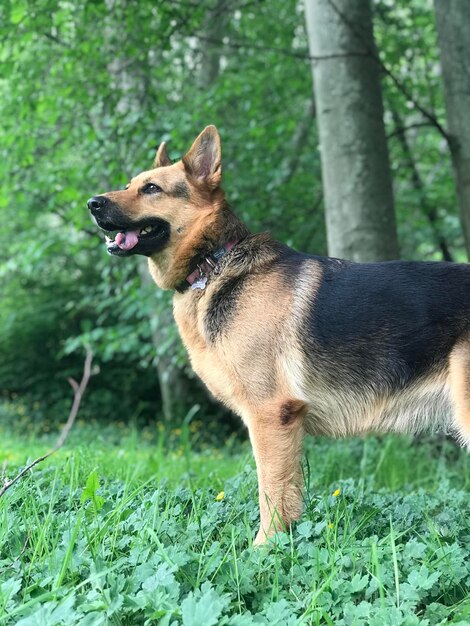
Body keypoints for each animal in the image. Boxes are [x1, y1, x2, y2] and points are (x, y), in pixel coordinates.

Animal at [88, 125, 470, 540]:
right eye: (130, 185)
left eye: (152, 188)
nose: (92, 203)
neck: (213, 261)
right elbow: (289, 493)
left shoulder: (271, 416)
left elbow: (270, 490)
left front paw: (264, 547)